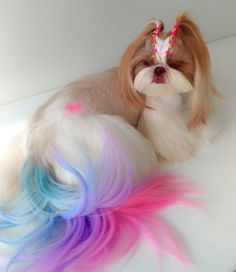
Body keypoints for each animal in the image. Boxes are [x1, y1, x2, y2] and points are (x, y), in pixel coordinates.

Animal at [0, 12, 214, 272]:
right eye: (147, 62)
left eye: (175, 64)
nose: (159, 69)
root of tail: (37, 150)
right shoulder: (159, 117)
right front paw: (200, 137)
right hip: (112, 136)